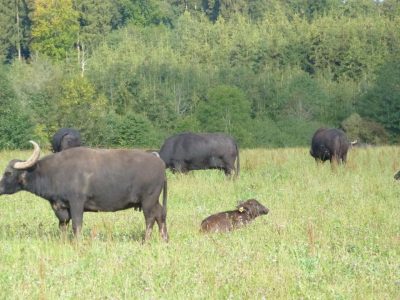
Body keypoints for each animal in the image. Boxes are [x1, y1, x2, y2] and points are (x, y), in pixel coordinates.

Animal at [0, 141, 169, 241]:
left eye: (8, 173)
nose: (0, 188)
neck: (54, 172)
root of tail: (160, 163)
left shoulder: (76, 203)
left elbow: (77, 225)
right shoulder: (61, 208)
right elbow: (62, 225)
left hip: (148, 200)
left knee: (150, 219)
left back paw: (145, 241)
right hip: (155, 201)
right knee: (160, 215)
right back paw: (164, 239)